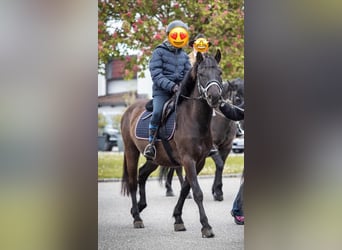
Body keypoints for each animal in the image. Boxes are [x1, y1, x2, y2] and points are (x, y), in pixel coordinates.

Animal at [121, 49, 224, 237]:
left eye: (219, 73)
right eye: (201, 74)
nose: (214, 97)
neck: (193, 120)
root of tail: (129, 110)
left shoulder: (199, 162)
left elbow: (185, 189)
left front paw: (178, 219)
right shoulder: (188, 160)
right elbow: (197, 192)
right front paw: (206, 226)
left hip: (154, 159)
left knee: (142, 174)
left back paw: (138, 207)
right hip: (131, 151)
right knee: (132, 181)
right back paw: (137, 217)